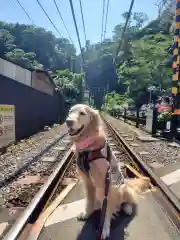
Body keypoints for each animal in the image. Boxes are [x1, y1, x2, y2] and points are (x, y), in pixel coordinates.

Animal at [65, 104, 150, 239]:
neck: (88, 148)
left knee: (128, 200)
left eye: (82, 113)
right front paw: (87, 214)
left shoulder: (105, 184)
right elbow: (89, 201)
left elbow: (106, 211)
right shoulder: (88, 181)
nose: (68, 121)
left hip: (120, 188)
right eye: (70, 112)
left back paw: (127, 208)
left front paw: (104, 229)